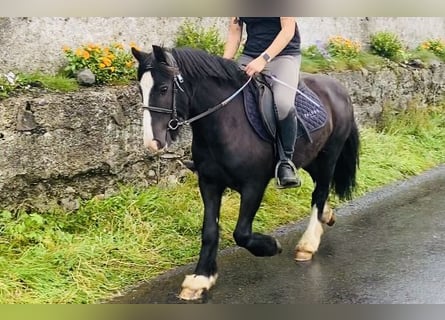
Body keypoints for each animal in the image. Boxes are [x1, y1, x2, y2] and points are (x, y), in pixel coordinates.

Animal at [130, 45, 360, 300]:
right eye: (141, 89)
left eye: (163, 88)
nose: (152, 143)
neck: (226, 121)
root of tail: (338, 88)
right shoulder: (209, 183)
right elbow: (209, 230)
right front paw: (200, 279)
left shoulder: (254, 185)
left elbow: (241, 233)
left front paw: (271, 246)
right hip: (312, 157)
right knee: (319, 190)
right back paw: (326, 217)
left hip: (330, 155)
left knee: (319, 193)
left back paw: (307, 244)